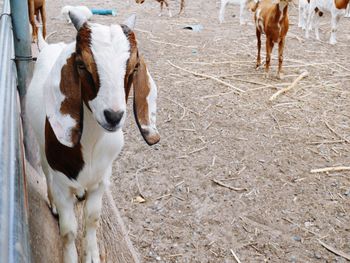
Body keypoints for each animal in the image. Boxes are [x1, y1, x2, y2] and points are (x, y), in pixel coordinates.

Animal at [26, 12, 160, 263]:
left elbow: (92, 218)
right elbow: (68, 230)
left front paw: (91, 255)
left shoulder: (101, 180)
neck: (90, 144)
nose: (113, 116)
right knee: (45, 170)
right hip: (42, 147)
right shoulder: (61, 182)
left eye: (134, 67)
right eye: (82, 65)